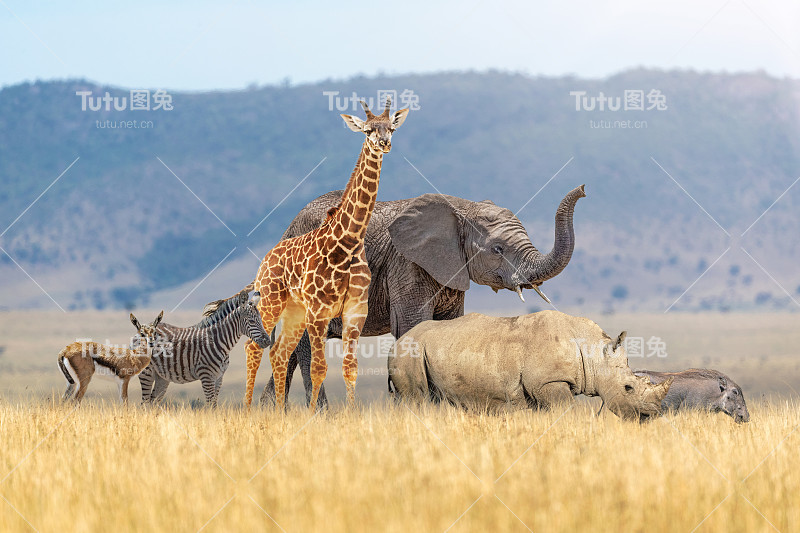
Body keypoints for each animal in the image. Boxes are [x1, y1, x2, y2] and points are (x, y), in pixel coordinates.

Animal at [139, 288, 270, 406]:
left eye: (261, 320)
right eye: (252, 321)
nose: (268, 341)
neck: (219, 342)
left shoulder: (219, 378)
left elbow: (214, 404)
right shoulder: (206, 376)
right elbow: (211, 406)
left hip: (162, 377)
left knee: (153, 403)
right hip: (146, 372)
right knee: (145, 404)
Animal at [203, 185, 584, 406]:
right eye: (498, 249)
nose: (582, 188)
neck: (461, 208)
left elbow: (448, 327)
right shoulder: (406, 264)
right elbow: (414, 326)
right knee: (307, 345)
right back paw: (319, 414)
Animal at [245, 98, 410, 408]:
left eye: (391, 127)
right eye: (368, 129)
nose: (384, 143)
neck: (347, 243)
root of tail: (266, 259)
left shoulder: (355, 311)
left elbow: (350, 368)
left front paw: (351, 413)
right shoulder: (319, 312)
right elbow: (319, 368)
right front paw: (313, 415)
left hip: (294, 312)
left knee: (278, 352)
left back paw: (278, 412)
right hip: (271, 302)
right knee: (255, 347)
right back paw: (249, 410)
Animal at [386, 308, 668, 420]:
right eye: (628, 388)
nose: (649, 416)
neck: (594, 354)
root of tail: (396, 343)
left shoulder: (538, 388)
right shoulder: (549, 381)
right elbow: (564, 411)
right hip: (409, 354)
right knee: (418, 399)